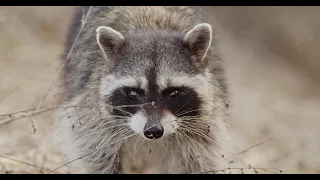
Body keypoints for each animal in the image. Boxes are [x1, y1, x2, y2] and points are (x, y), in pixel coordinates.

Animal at [54, 6, 230, 174]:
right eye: (133, 93)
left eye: (173, 93)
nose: (153, 131)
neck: (153, 27)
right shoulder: (94, 117)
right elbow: (97, 156)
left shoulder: (203, 127)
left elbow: (199, 161)